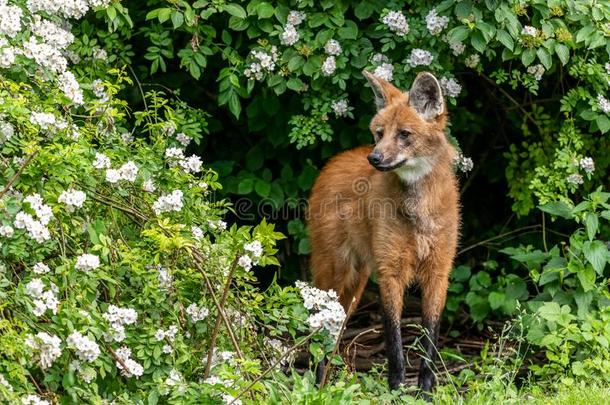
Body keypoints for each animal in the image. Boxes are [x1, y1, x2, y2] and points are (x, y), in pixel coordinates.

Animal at [308, 71, 456, 396]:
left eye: (404, 134)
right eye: (379, 133)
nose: (374, 158)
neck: (418, 211)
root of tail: (333, 161)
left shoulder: (438, 271)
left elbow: (430, 336)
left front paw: (426, 390)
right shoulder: (390, 271)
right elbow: (394, 337)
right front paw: (397, 387)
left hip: (355, 287)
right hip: (336, 275)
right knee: (317, 327)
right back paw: (316, 383)